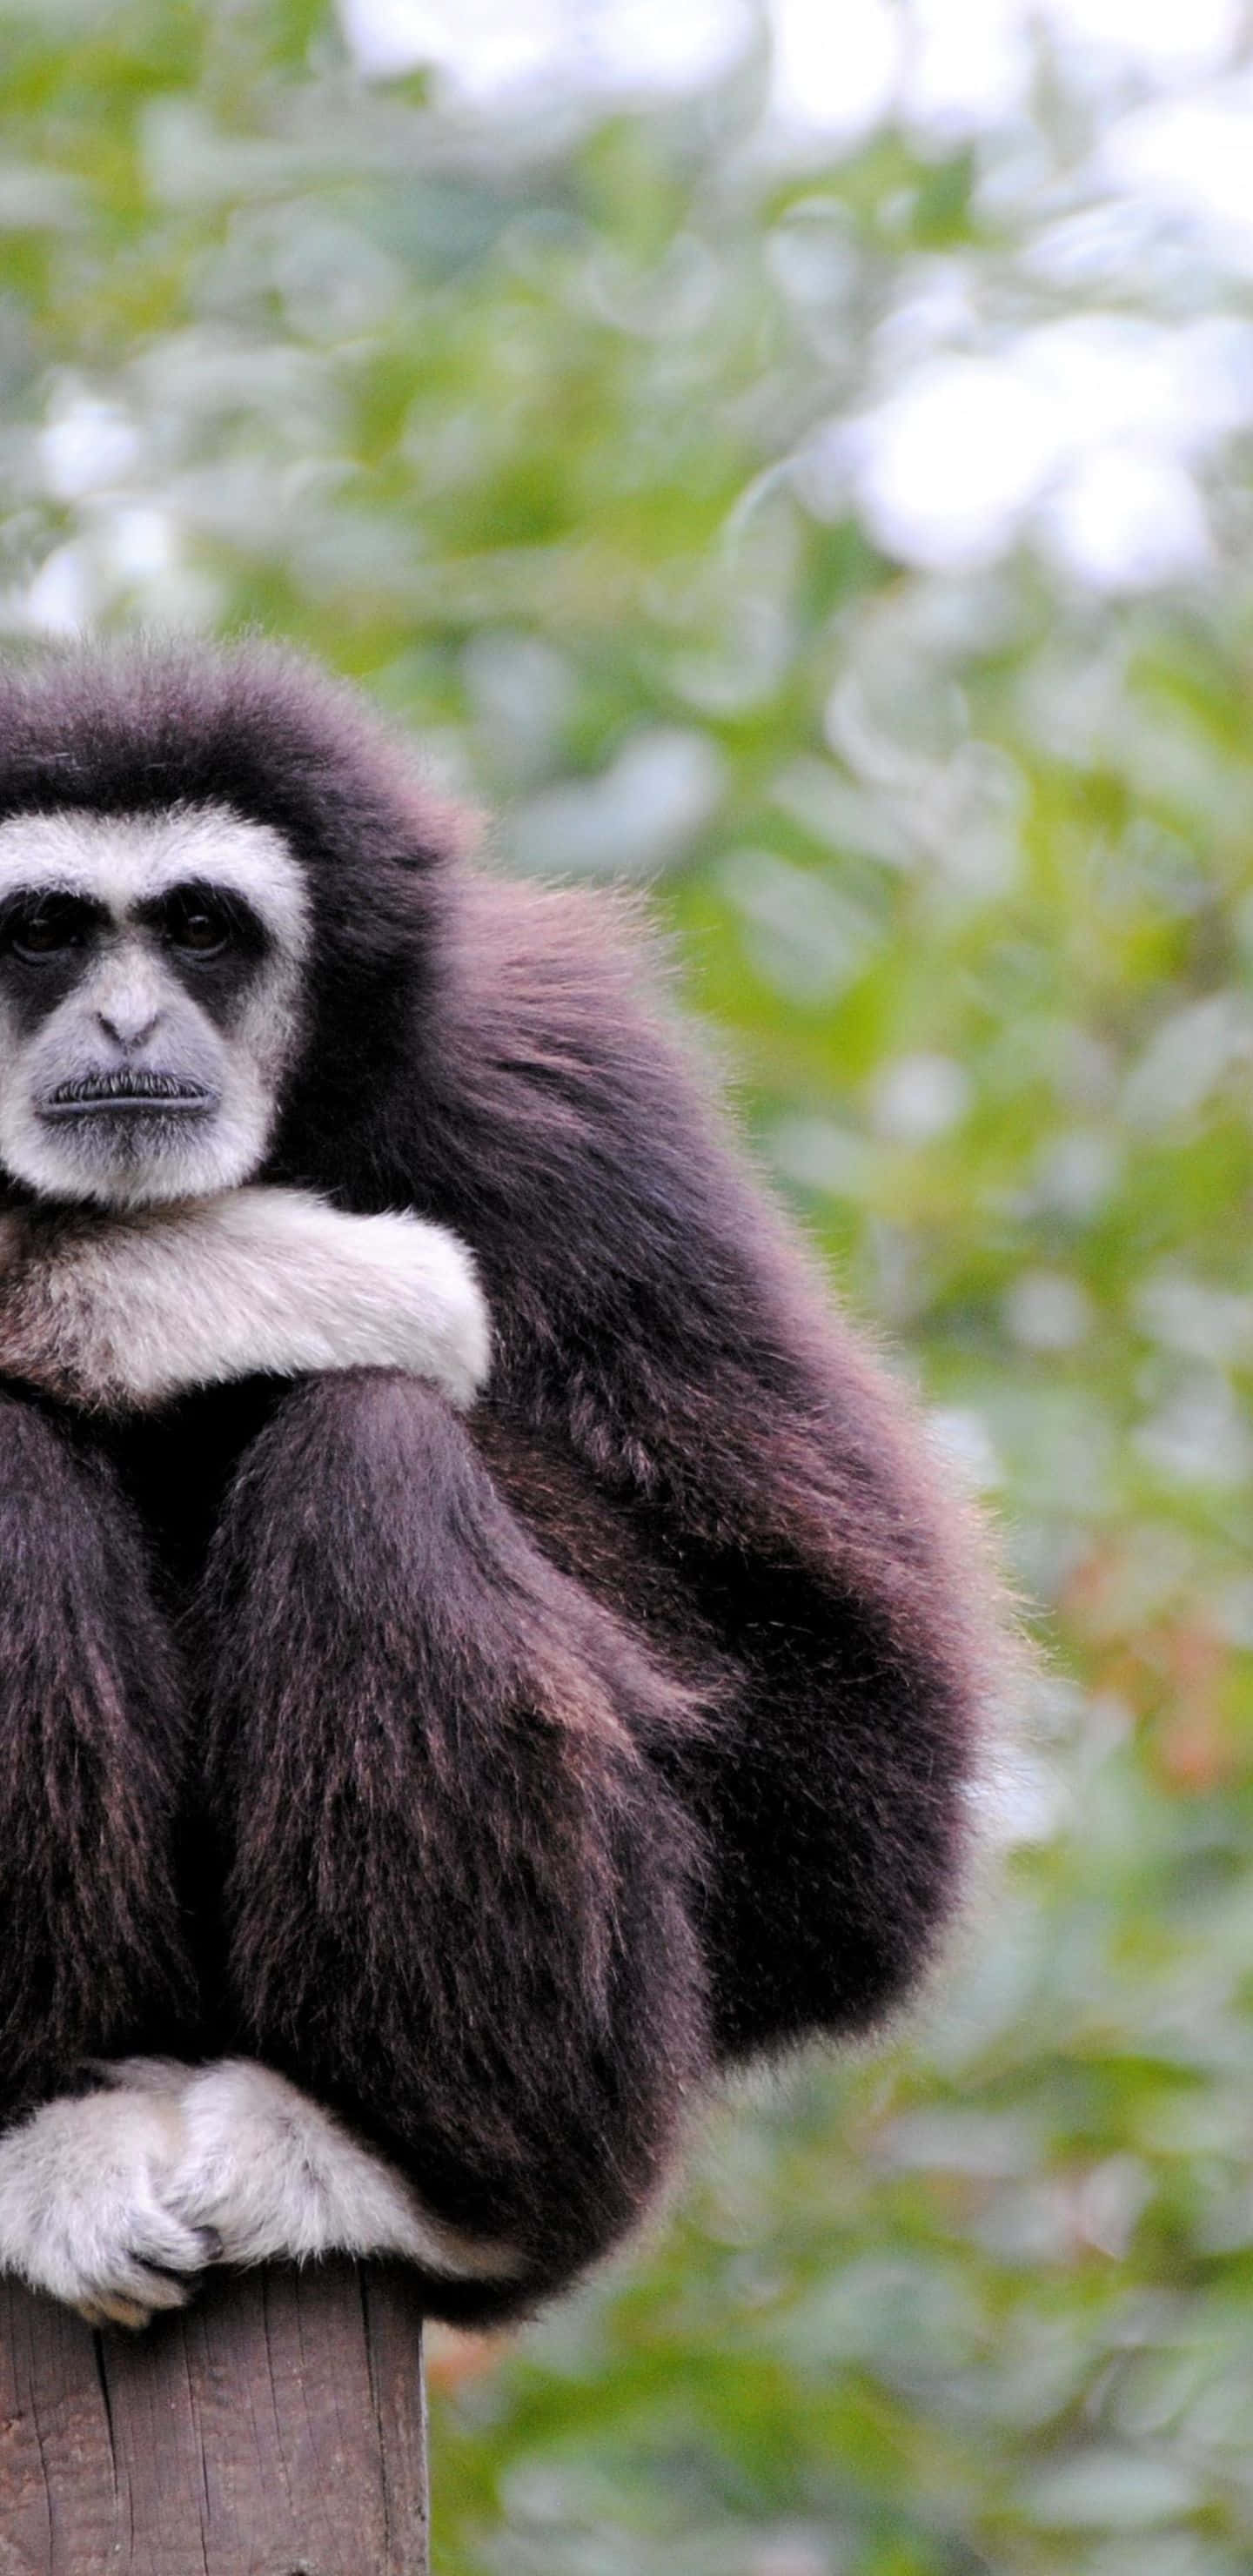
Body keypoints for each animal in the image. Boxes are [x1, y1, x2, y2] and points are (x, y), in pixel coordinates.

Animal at [0, 640, 1002, 2334]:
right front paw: (193, 1279)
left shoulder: (568, 1099)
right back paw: (49, 2126)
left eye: (202, 929)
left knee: (373, 1451)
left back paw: (409, 2174)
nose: (127, 1028)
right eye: (42, 931)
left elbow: (856, 1790)